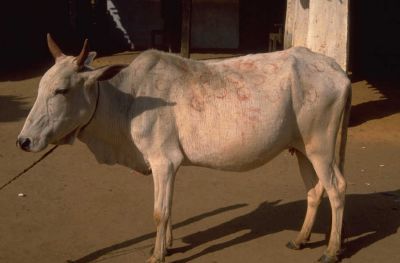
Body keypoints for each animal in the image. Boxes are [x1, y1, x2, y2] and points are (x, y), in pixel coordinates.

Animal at [18, 35, 350, 263]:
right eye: (40, 87)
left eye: (61, 90)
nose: (24, 141)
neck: (128, 100)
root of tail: (337, 70)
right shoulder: (169, 166)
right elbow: (169, 208)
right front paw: (167, 244)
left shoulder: (163, 161)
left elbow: (159, 212)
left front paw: (157, 254)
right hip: (302, 148)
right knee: (314, 190)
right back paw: (301, 238)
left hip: (320, 146)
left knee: (336, 188)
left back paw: (332, 250)